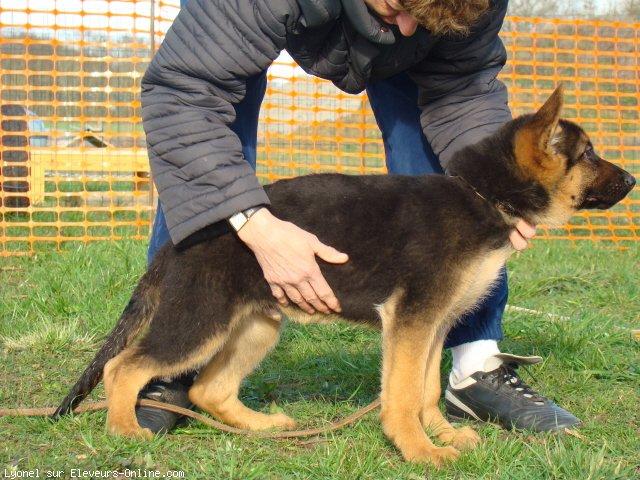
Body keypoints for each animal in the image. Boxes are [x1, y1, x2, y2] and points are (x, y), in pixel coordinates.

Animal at [55, 86, 636, 464]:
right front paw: (418, 450)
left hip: (256, 325)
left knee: (209, 390)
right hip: (200, 321)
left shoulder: (432, 326)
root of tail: (178, 243)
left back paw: (262, 428)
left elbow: (426, 390)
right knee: (125, 368)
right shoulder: (410, 321)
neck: (483, 195)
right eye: (588, 154)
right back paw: (126, 430)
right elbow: (402, 395)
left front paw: (442, 437)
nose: (632, 179)